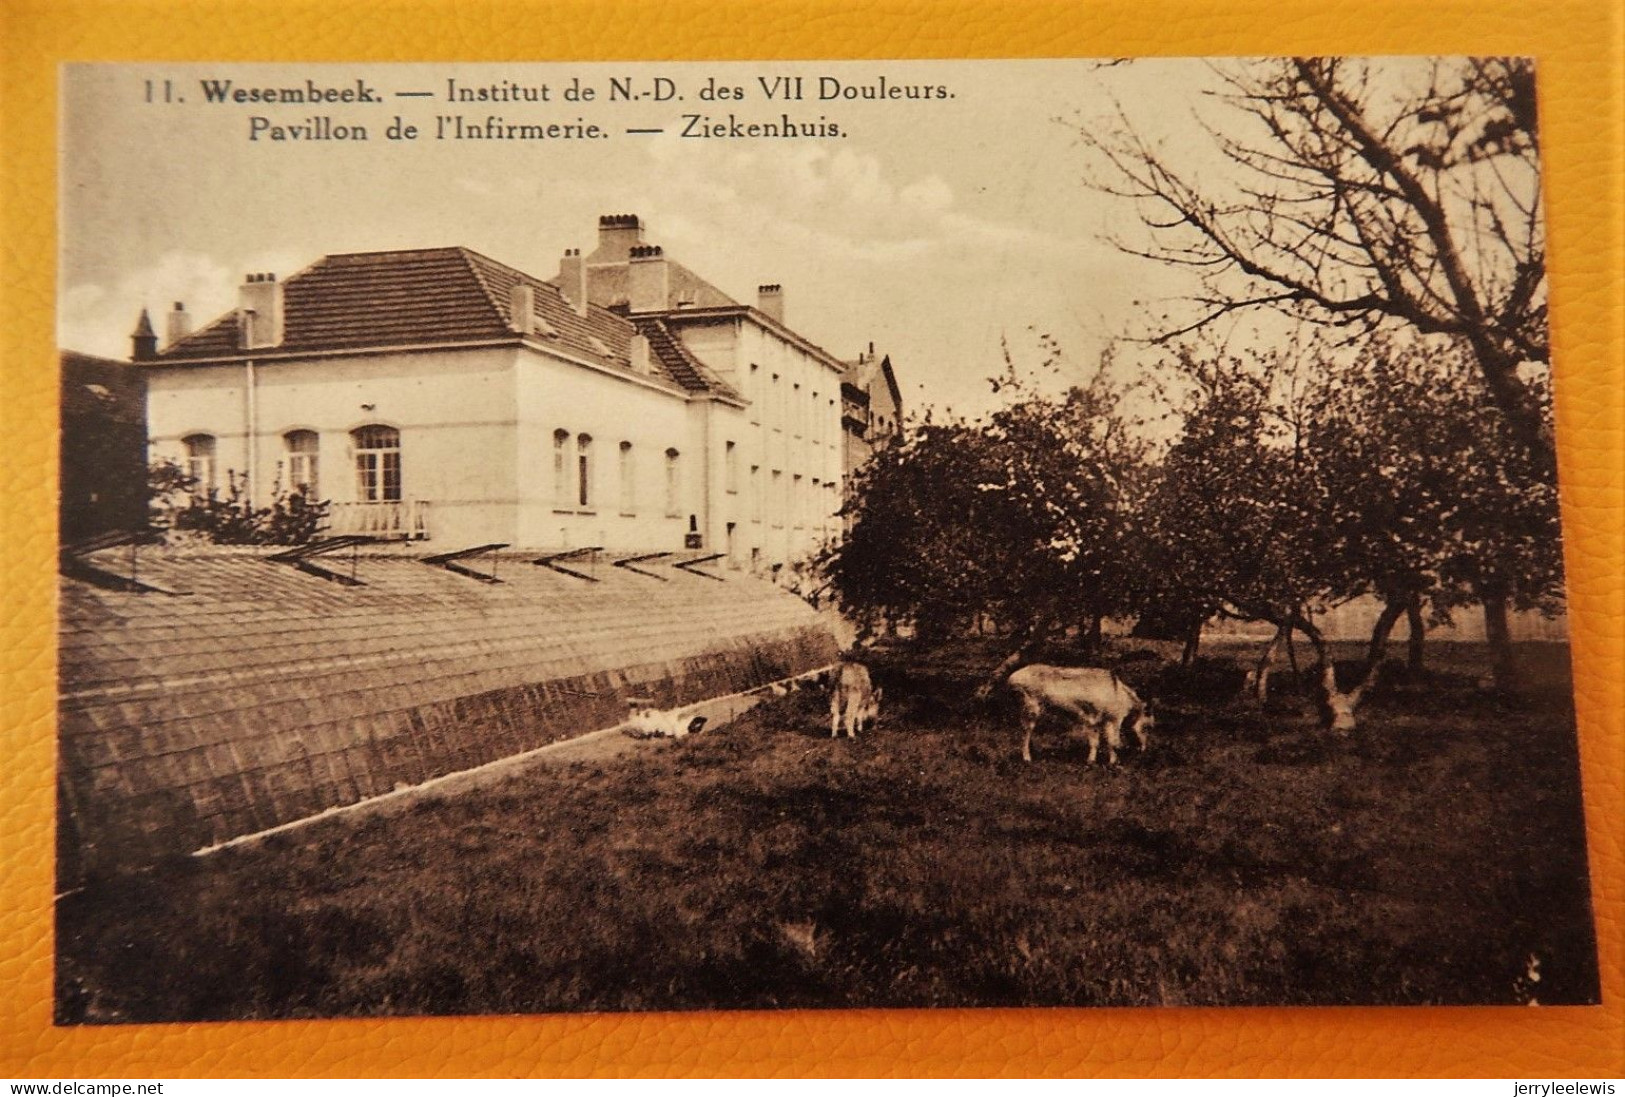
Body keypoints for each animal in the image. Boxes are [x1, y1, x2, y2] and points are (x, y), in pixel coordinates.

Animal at [1001, 666, 1157, 767]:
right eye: (1148, 727)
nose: (1143, 750)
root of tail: (1011, 678)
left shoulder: (1098, 721)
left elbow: (1101, 741)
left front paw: (1094, 761)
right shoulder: (1107, 720)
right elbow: (1112, 742)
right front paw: (1111, 762)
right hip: (1031, 709)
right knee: (1025, 732)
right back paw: (1027, 758)